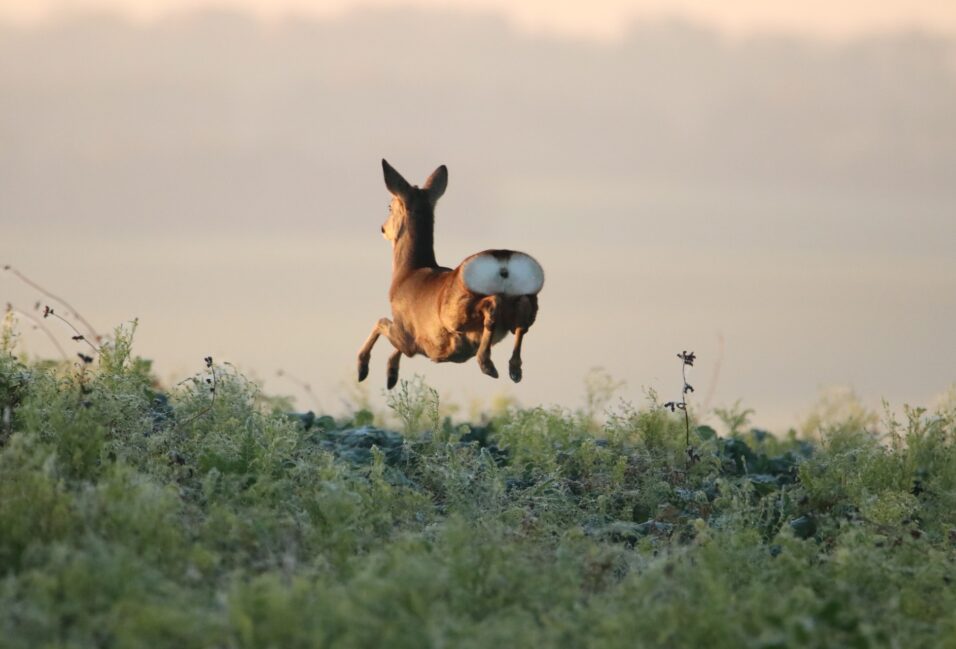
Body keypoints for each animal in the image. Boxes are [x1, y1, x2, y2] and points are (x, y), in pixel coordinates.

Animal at [356, 159, 540, 388]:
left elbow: (380, 323)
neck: (405, 274)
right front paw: (391, 376)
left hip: (457, 310)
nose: (382, 228)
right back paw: (513, 369)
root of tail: (503, 260)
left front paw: (364, 369)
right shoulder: (410, 339)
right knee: (521, 322)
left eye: (389, 206)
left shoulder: (407, 334)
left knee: (491, 306)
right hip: (528, 299)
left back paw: (486, 362)